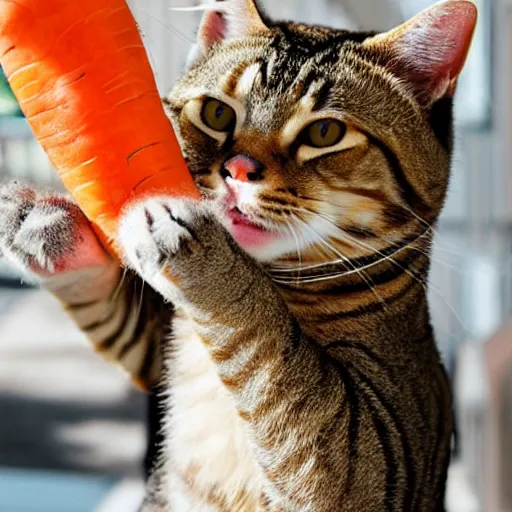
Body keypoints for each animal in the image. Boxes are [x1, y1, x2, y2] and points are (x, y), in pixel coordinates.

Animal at [0, 1, 476, 512]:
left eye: (324, 131)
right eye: (216, 112)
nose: (239, 169)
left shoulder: (376, 457)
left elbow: (274, 351)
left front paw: (199, 250)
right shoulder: (161, 347)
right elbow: (123, 314)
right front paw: (40, 221)